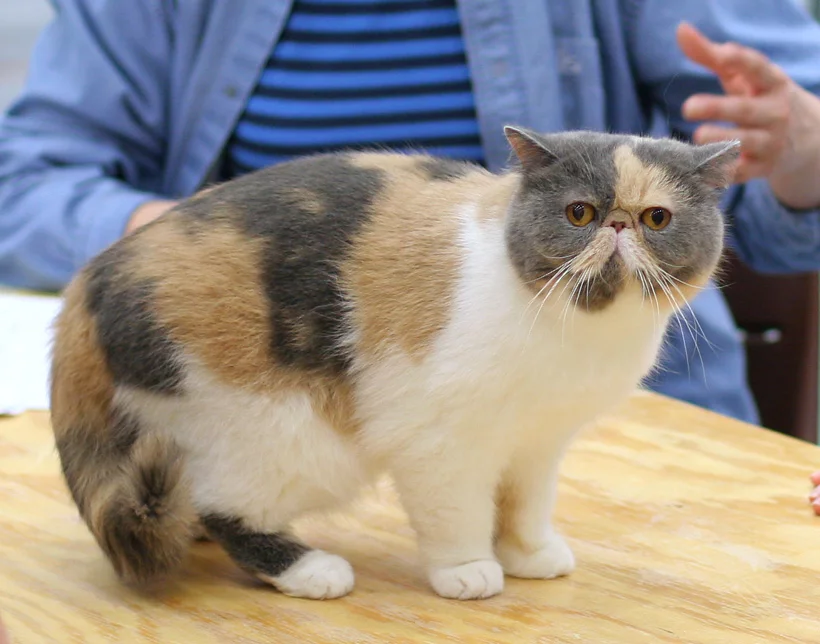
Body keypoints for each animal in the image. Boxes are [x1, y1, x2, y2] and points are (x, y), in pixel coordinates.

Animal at [49, 128, 736, 600]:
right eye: (579, 214)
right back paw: (310, 569)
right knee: (225, 506)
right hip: (280, 432)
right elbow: (458, 513)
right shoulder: (441, 441)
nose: (618, 225)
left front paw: (529, 554)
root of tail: (91, 278)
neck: (579, 337)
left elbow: (525, 504)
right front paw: (469, 571)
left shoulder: (539, 443)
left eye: (656, 219)